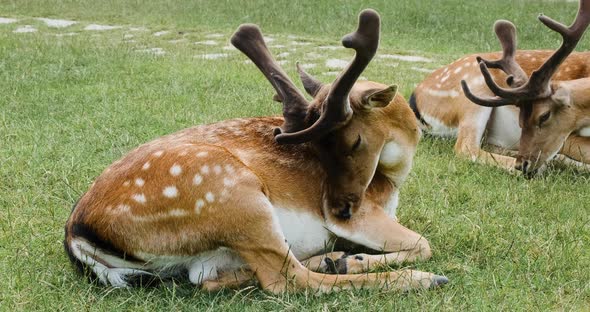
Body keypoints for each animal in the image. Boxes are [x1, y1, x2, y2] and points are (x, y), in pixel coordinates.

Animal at [63, 9, 448, 292]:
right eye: (320, 149)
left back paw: (335, 259)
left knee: (207, 279)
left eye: (353, 142)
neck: (394, 179)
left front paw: (349, 257)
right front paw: (369, 259)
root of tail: (77, 234)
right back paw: (417, 278)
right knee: (286, 280)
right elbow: (423, 244)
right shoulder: (368, 213)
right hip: (233, 194)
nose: (339, 210)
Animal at [412, 0, 590, 177]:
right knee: (466, 147)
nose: (523, 165)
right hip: (474, 88)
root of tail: (415, 99)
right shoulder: (569, 137)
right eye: (521, 121)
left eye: (543, 116)